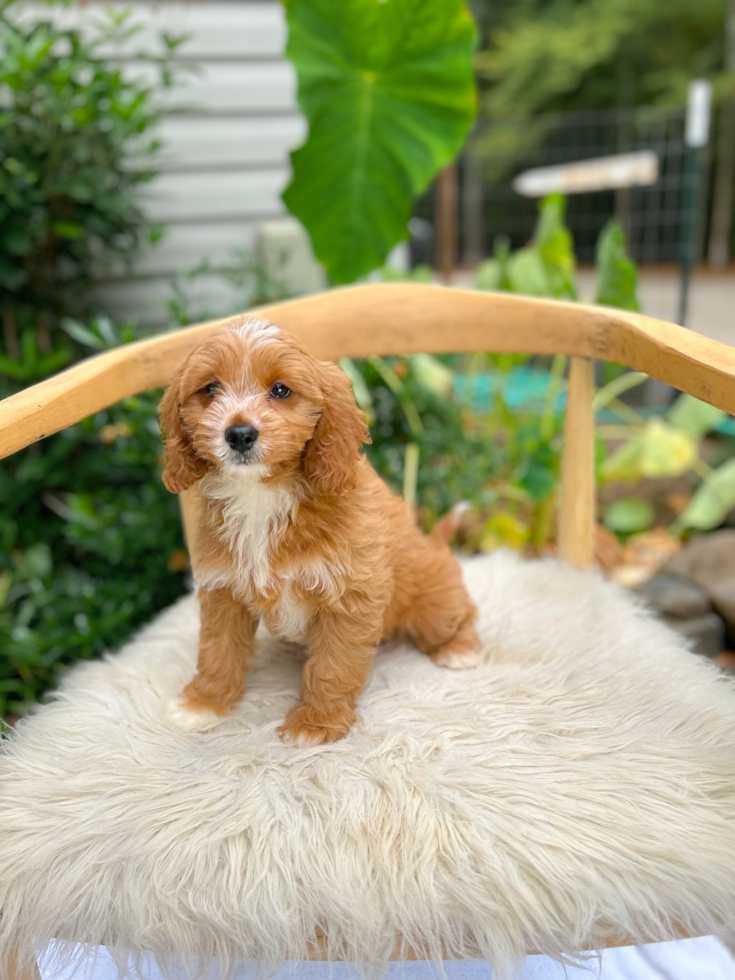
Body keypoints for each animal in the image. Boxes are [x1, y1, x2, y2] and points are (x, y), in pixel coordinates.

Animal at [160, 318, 484, 748]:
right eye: (210, 388)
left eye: (281, 390)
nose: (240, 434)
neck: (262, 494)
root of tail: (434, 543)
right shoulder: (223, 591)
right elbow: (217, 649)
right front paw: (203, 703)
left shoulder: (348, 596)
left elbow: (332, 664)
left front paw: (314, 723)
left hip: (433, 601)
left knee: (460, 613)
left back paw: (460, 648)